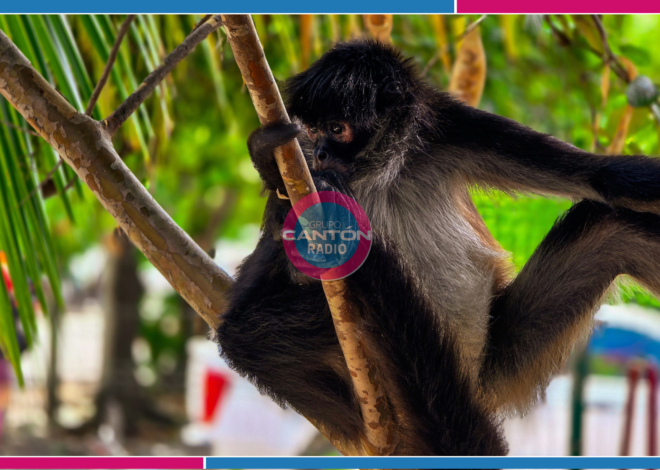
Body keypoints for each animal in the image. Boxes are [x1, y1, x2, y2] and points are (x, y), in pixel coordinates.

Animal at [216, 40, 660, 455]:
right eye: (312, 130)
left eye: (337, 128)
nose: (321, 152)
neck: (381, 169)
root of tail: (477, 388)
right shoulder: (306, 173)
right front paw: (267, 163)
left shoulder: (449, 128)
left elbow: (600, 175)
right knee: (247, 334)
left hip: (501, 359)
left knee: (613, 230)